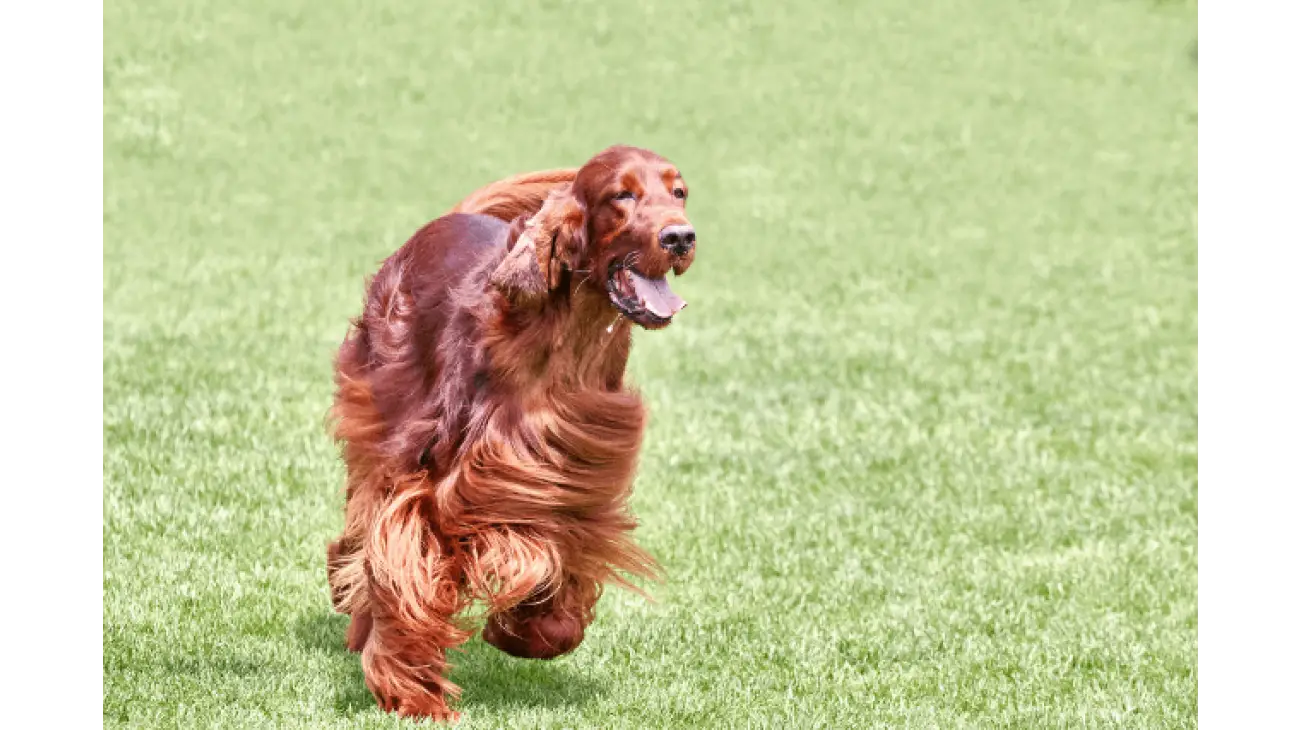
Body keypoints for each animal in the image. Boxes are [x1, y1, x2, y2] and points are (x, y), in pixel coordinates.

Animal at [325, 144, 702, 717]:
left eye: (678, 193)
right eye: (622, 195)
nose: (680, 237)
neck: (566, 344)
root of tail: (450, 217)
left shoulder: (568, 480)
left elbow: (557, 572)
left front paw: (529, 631)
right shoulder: (434, 485)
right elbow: (401, 565)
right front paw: (413, 691)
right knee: (360, 531)